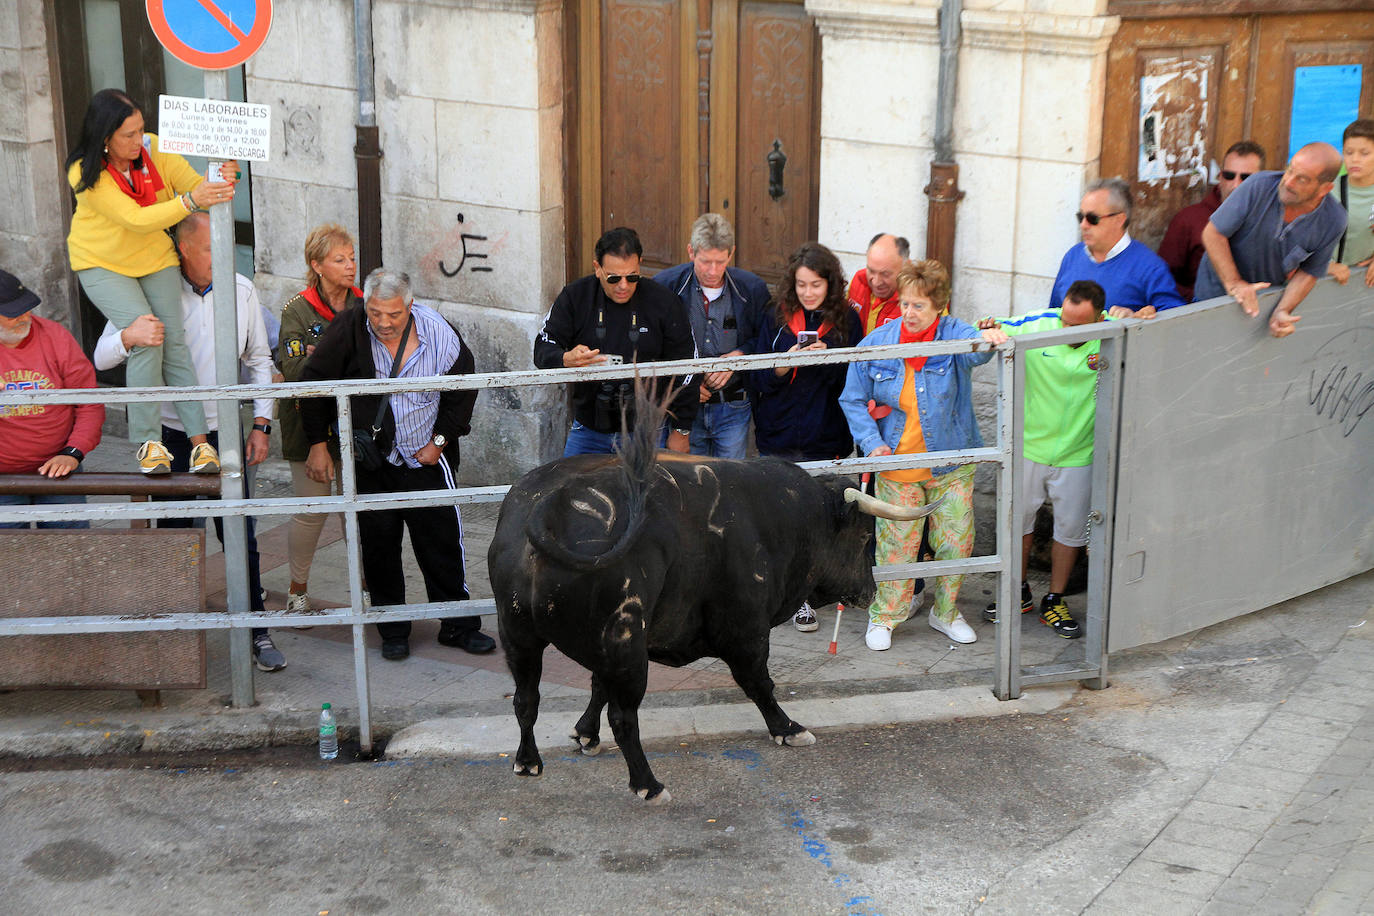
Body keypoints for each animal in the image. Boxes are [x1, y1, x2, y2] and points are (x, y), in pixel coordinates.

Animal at [486, 450, 934, 802]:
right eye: (863, 537)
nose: (869, 591)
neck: (781, 516)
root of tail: (552, 503)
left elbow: (595, 687)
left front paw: (584, 734)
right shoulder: (746, 631)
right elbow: (759, 684)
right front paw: (787, 728)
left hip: (520, 636)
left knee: (526, 699)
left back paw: (528, 760)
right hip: (627, 648)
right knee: (624, 717)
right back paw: (648, 784)